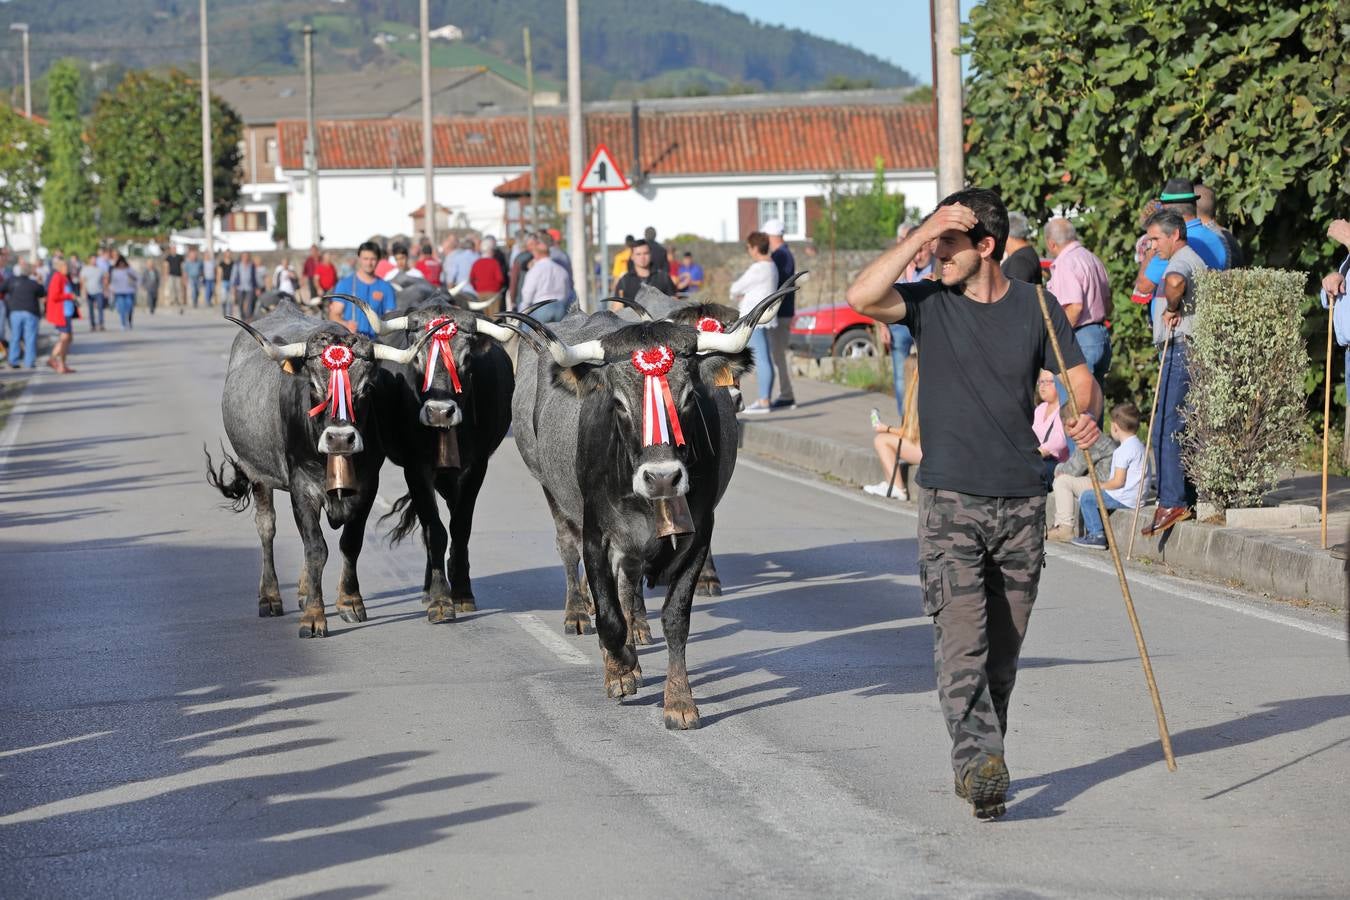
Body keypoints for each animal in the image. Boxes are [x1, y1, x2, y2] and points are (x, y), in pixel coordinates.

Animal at [205, 299, 432, 636]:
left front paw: (349, 602)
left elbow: (349, 543)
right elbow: (315, 548)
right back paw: (270, 597)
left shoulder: (367, 486)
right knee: (267, 527)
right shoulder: (302, 487)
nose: (340, 438)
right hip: (257, 472)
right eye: (313, 386)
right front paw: (314, 615)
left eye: (366, 388)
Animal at [353, 292, 521, 623]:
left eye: (466, 358)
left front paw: (462, 592)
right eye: (417, 358)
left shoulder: (476, 466)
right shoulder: (416, 468)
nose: (440, 411)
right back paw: (428, 589)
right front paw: (441, 599)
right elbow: (435, 531)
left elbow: (460, 527)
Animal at [504, 276, 799, 734]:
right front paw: (621, 668)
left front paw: (679, 701)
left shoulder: (697, 533)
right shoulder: (596, 533)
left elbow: (675, 618)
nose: (662, 477)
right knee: (570, 553)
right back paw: (579, 615)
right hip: (551, 490)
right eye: (619, 403)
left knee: (628, 582)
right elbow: (608, 614)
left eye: (689, 396)